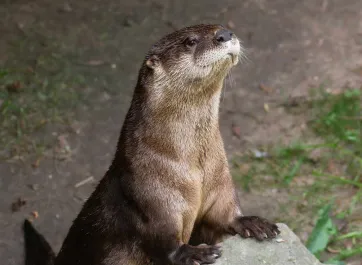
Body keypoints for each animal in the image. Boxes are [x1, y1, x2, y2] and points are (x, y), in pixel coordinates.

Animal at [24, 24, 280, 264]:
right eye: (190, 41)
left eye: (221, 27)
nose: (225, 34)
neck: (190, 167)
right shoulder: (152, 198)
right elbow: (164, 245)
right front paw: (195, 253)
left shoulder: (219, 180)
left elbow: (224, 214)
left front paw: (253, 223)